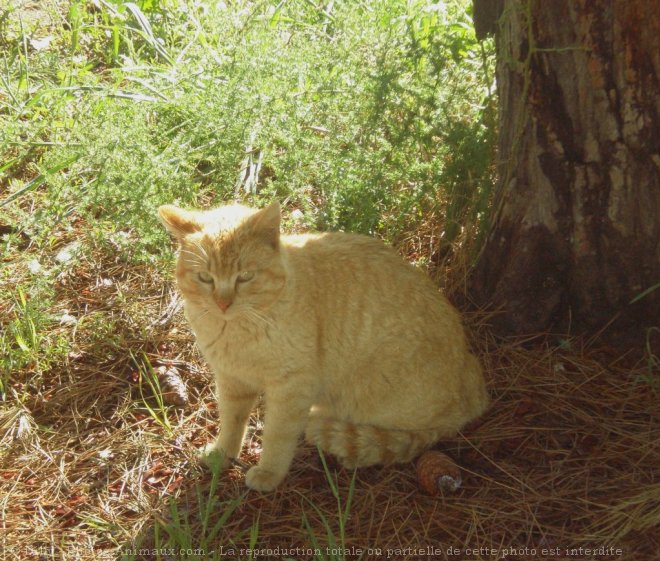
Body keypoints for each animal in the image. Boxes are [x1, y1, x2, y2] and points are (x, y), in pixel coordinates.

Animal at [160, 202, 490, 490]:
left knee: (406, 438)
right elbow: (231, 423)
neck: (237, 329)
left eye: (245, 277)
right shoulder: (232, 380)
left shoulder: (291, 387)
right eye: (205, 277)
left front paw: (269, 473)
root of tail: (476, 387)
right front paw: (222, 455)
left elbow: (277, 435)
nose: (223, 303)